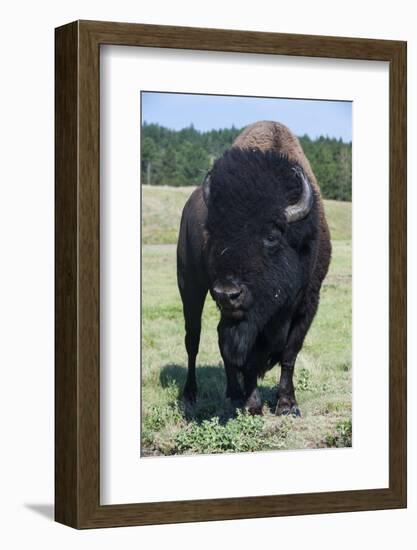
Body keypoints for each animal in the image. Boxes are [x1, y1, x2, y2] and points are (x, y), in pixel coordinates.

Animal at [176, 121, 332, 418]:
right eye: (213, 233)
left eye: (271, 236)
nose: (227, 293)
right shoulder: (247, 320)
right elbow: (247, 355)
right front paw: (254, 405)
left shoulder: (309, 302)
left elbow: (290, 353)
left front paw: (287, 405)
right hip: (190, 286)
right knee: (194, 339)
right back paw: (192, 394)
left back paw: (232, 393)